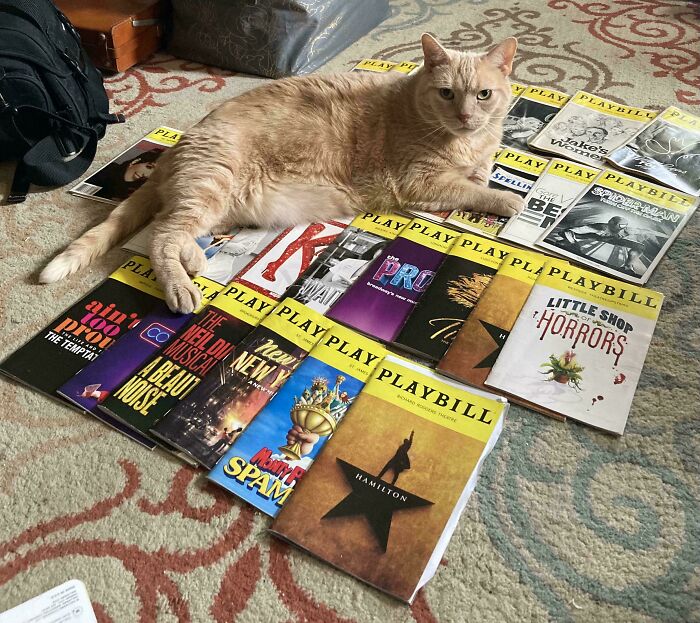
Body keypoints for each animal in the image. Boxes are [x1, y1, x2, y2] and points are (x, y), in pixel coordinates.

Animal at [38, 34, 520, 314]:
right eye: (446, 94)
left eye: (483, 95)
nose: (465, 116)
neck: (461, 139)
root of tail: (178, 148)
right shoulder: (421, 181)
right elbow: (474, 189)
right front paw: (507, 198)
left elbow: (482, 173)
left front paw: (485, 171)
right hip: (211, 184)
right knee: (162, 236)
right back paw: (181, 287)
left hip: (220, 206)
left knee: (172, 229)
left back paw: (194, 260)